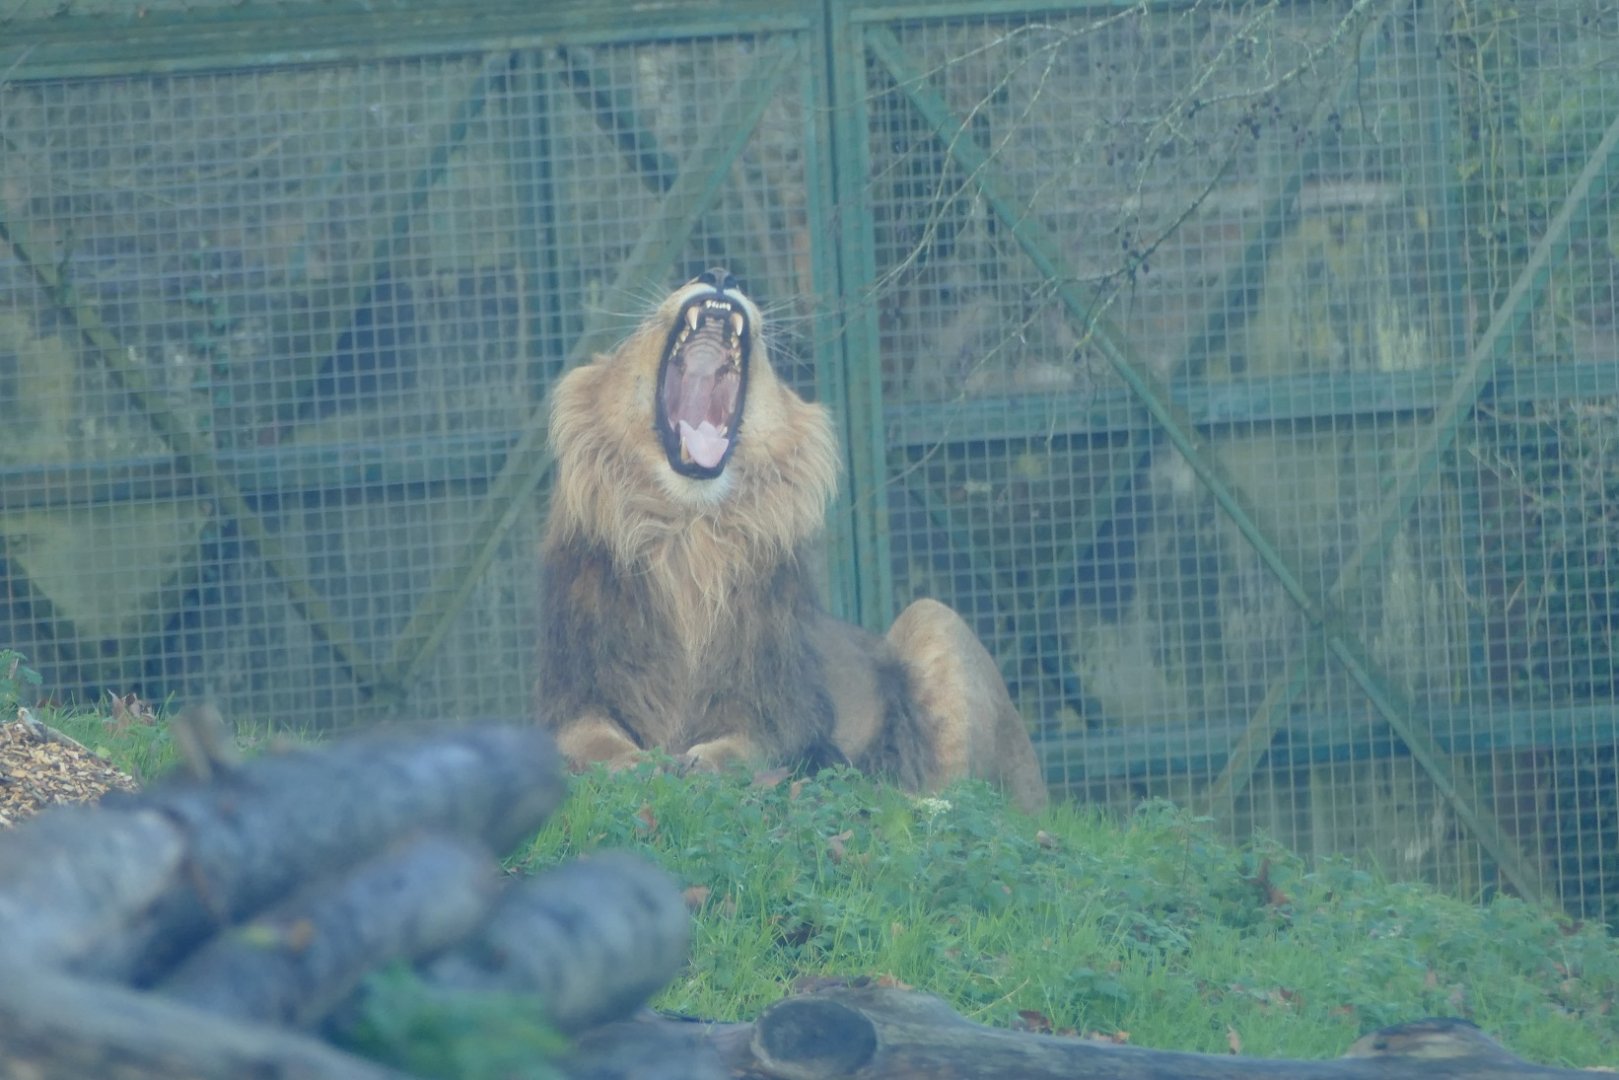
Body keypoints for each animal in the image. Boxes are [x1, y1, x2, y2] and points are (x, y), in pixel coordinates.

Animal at [535, 268, 1048, 813]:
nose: (719, 274)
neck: (690, 538)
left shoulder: (778, 706)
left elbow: (753, 748)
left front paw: (705, 764)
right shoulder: (574, 695)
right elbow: (588, 741)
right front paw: (637, 764)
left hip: (934, 620)